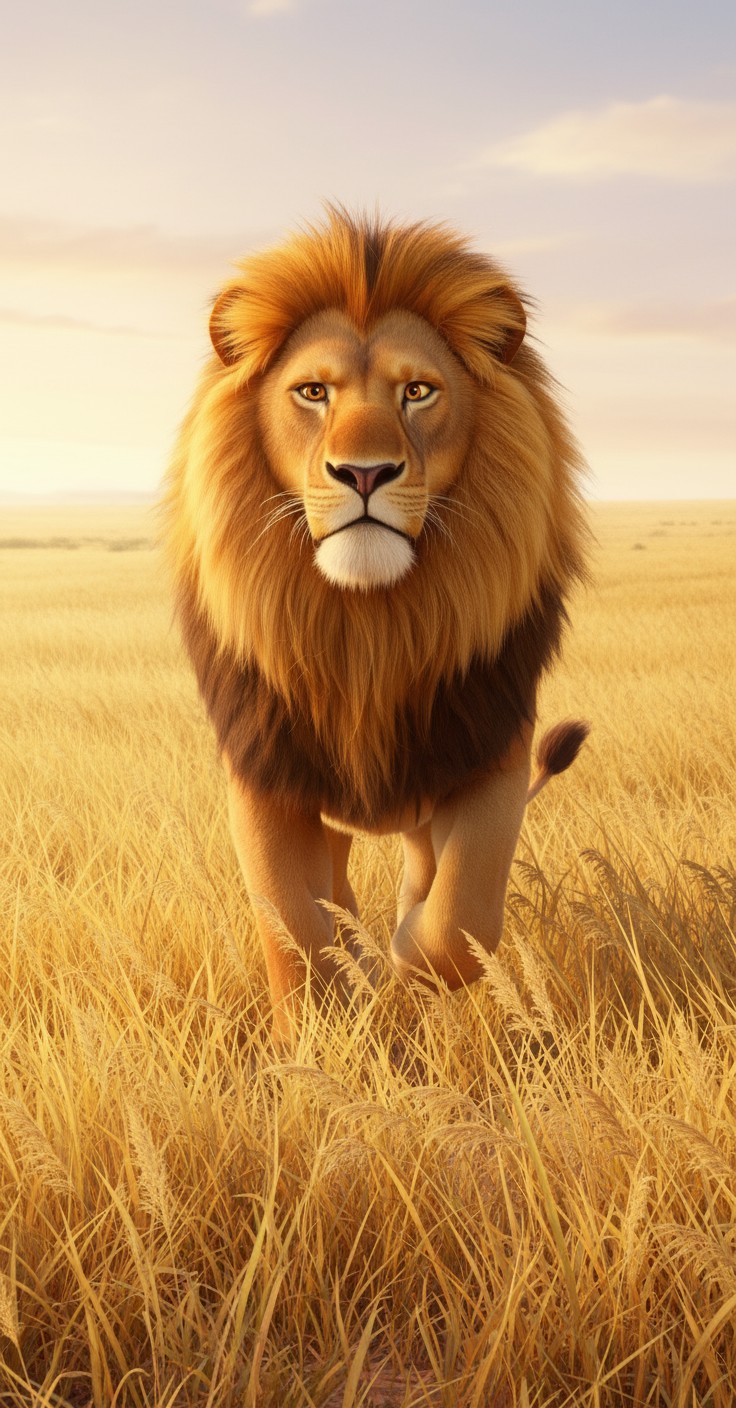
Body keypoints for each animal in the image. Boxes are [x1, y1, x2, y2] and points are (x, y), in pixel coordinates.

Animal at [164, 208, 589, 1043]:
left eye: (417, 392)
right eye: (313, 392)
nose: (364, 473)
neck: (367, 631)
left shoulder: (489, 745)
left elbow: (460, 920)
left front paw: (403, 965)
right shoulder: (267, 773)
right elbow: (294, 926)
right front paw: (323, 1035)